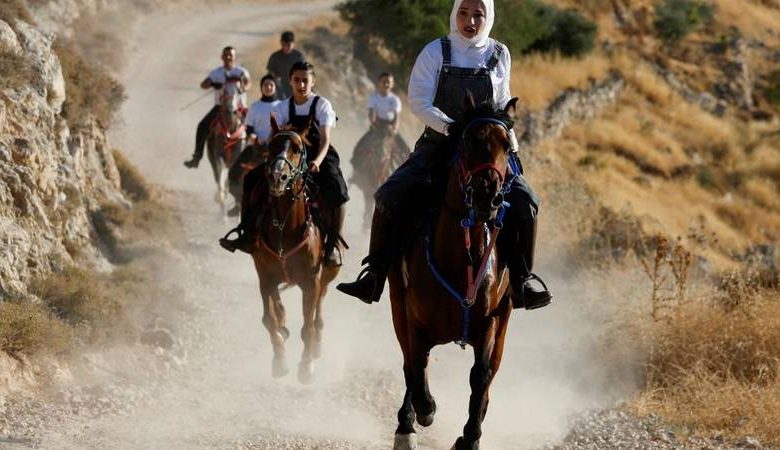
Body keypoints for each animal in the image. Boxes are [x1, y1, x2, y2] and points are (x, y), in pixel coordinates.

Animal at [248, 116, 336, 384]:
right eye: (272, 145)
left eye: (297, 149)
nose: (278, 176)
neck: (285, 228)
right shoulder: (265, 277)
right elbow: (269, 320)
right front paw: (280, 360)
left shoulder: (310, 281)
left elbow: (307, 326)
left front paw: (306, 367)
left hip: (327, 274)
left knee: (320, 304)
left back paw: (317, 341)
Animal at [386, 96, 516, 448]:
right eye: (469, 141)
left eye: (507, 145)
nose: (488, 196)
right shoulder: (412, 317)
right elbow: (415, 365)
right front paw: (423, 412)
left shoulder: (491, 320)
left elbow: (481, 374)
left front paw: (469, 438)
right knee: (409, 363)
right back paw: (407, 424)